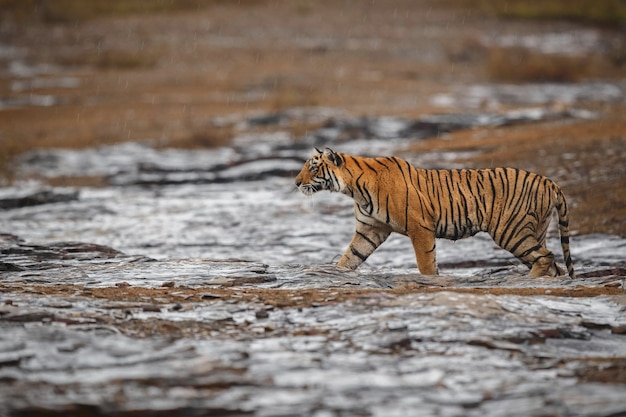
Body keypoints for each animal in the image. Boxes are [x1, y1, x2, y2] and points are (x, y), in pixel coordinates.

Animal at [294, 146, 572, 276]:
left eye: (313, 167)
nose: (296, 183)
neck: (354, 189)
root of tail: (550, 181)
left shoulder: (420, 227)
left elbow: (426, 263)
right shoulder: (369, 230)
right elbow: (349, 258)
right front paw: (335, 273)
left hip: (511, 231)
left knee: (546, 257)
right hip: (533, 231)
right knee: (553, 264)